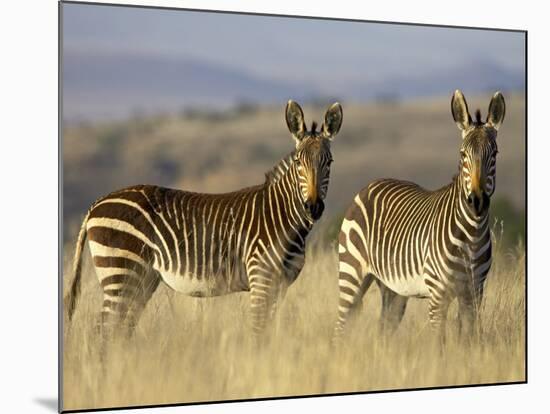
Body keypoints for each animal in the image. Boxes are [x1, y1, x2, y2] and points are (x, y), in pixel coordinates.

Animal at [62, 100, 342, 340]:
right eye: (298, 162)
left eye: (329, 162)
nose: (313, 207)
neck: (281, 217)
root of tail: (96, 203)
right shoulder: (261, 278)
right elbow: (257, 332)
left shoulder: (281, 285)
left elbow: (268, 332)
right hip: (120, 272)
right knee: (103, 332)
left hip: (141, 280)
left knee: (120, 331)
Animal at [334, 91, 506, 346]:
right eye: (462, 155)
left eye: (494, 154)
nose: (476, 201)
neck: (472, 234)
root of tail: (369, 185)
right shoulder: (438, 295)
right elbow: (439, 344)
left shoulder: (474, 292)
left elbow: (470, 341)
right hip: (351, 273)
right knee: (340, 326)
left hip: (393, 289)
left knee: (384, 328)